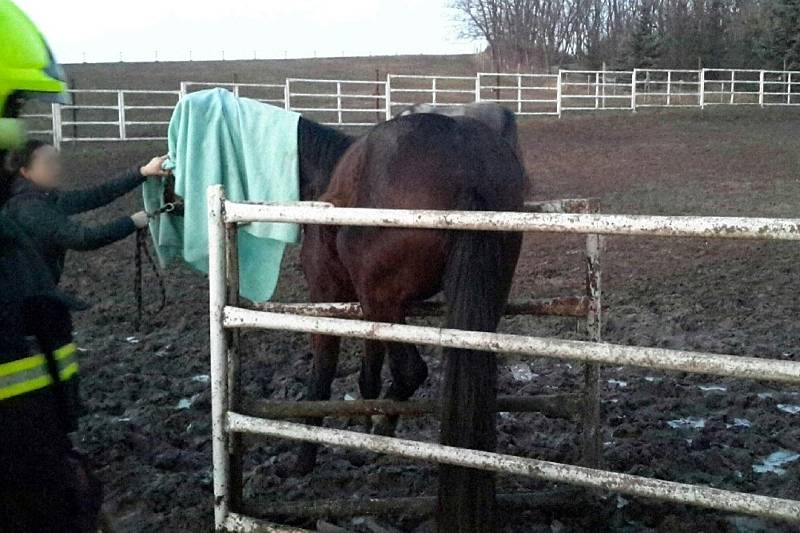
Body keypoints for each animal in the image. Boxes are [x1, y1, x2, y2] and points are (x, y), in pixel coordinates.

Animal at [296, 113, 528, 532]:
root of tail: (468, 167)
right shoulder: (365, 305)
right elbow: (369, 370)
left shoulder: (327, 293)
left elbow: (323, 372)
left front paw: (304, 458)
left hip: (385, 301)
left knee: (410, 371)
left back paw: (379, 438)